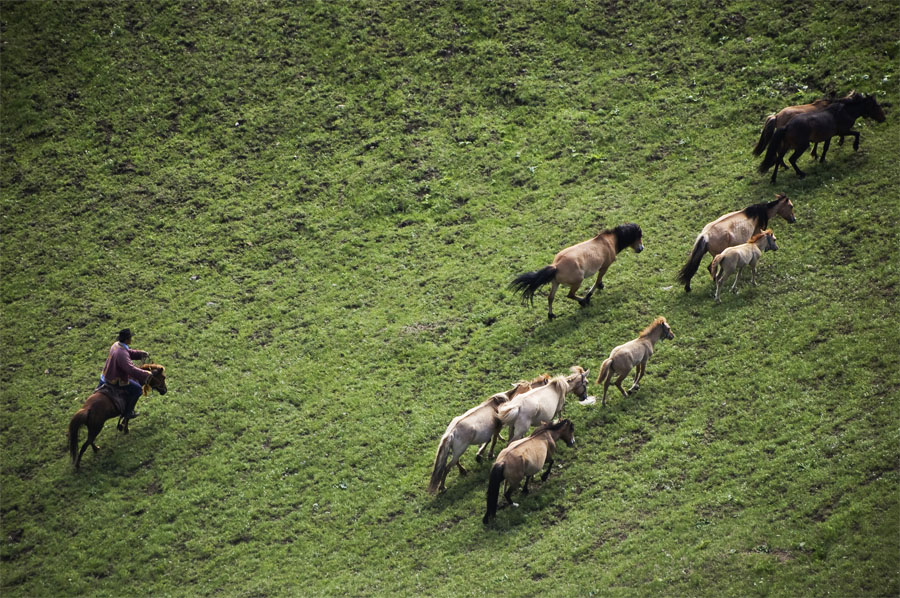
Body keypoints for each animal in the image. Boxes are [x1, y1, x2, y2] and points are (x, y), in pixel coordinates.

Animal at [510, 223, 644, 322]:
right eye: (638, 236)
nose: (641, 248)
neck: (609, 240)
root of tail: (556, 266)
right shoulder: (604, 267)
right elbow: (597, 281)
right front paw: (590, 294)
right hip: (578, 281)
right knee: (570, 295)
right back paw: (583, 301)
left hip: (555, 283)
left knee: (550, 297)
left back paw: (551, 315)